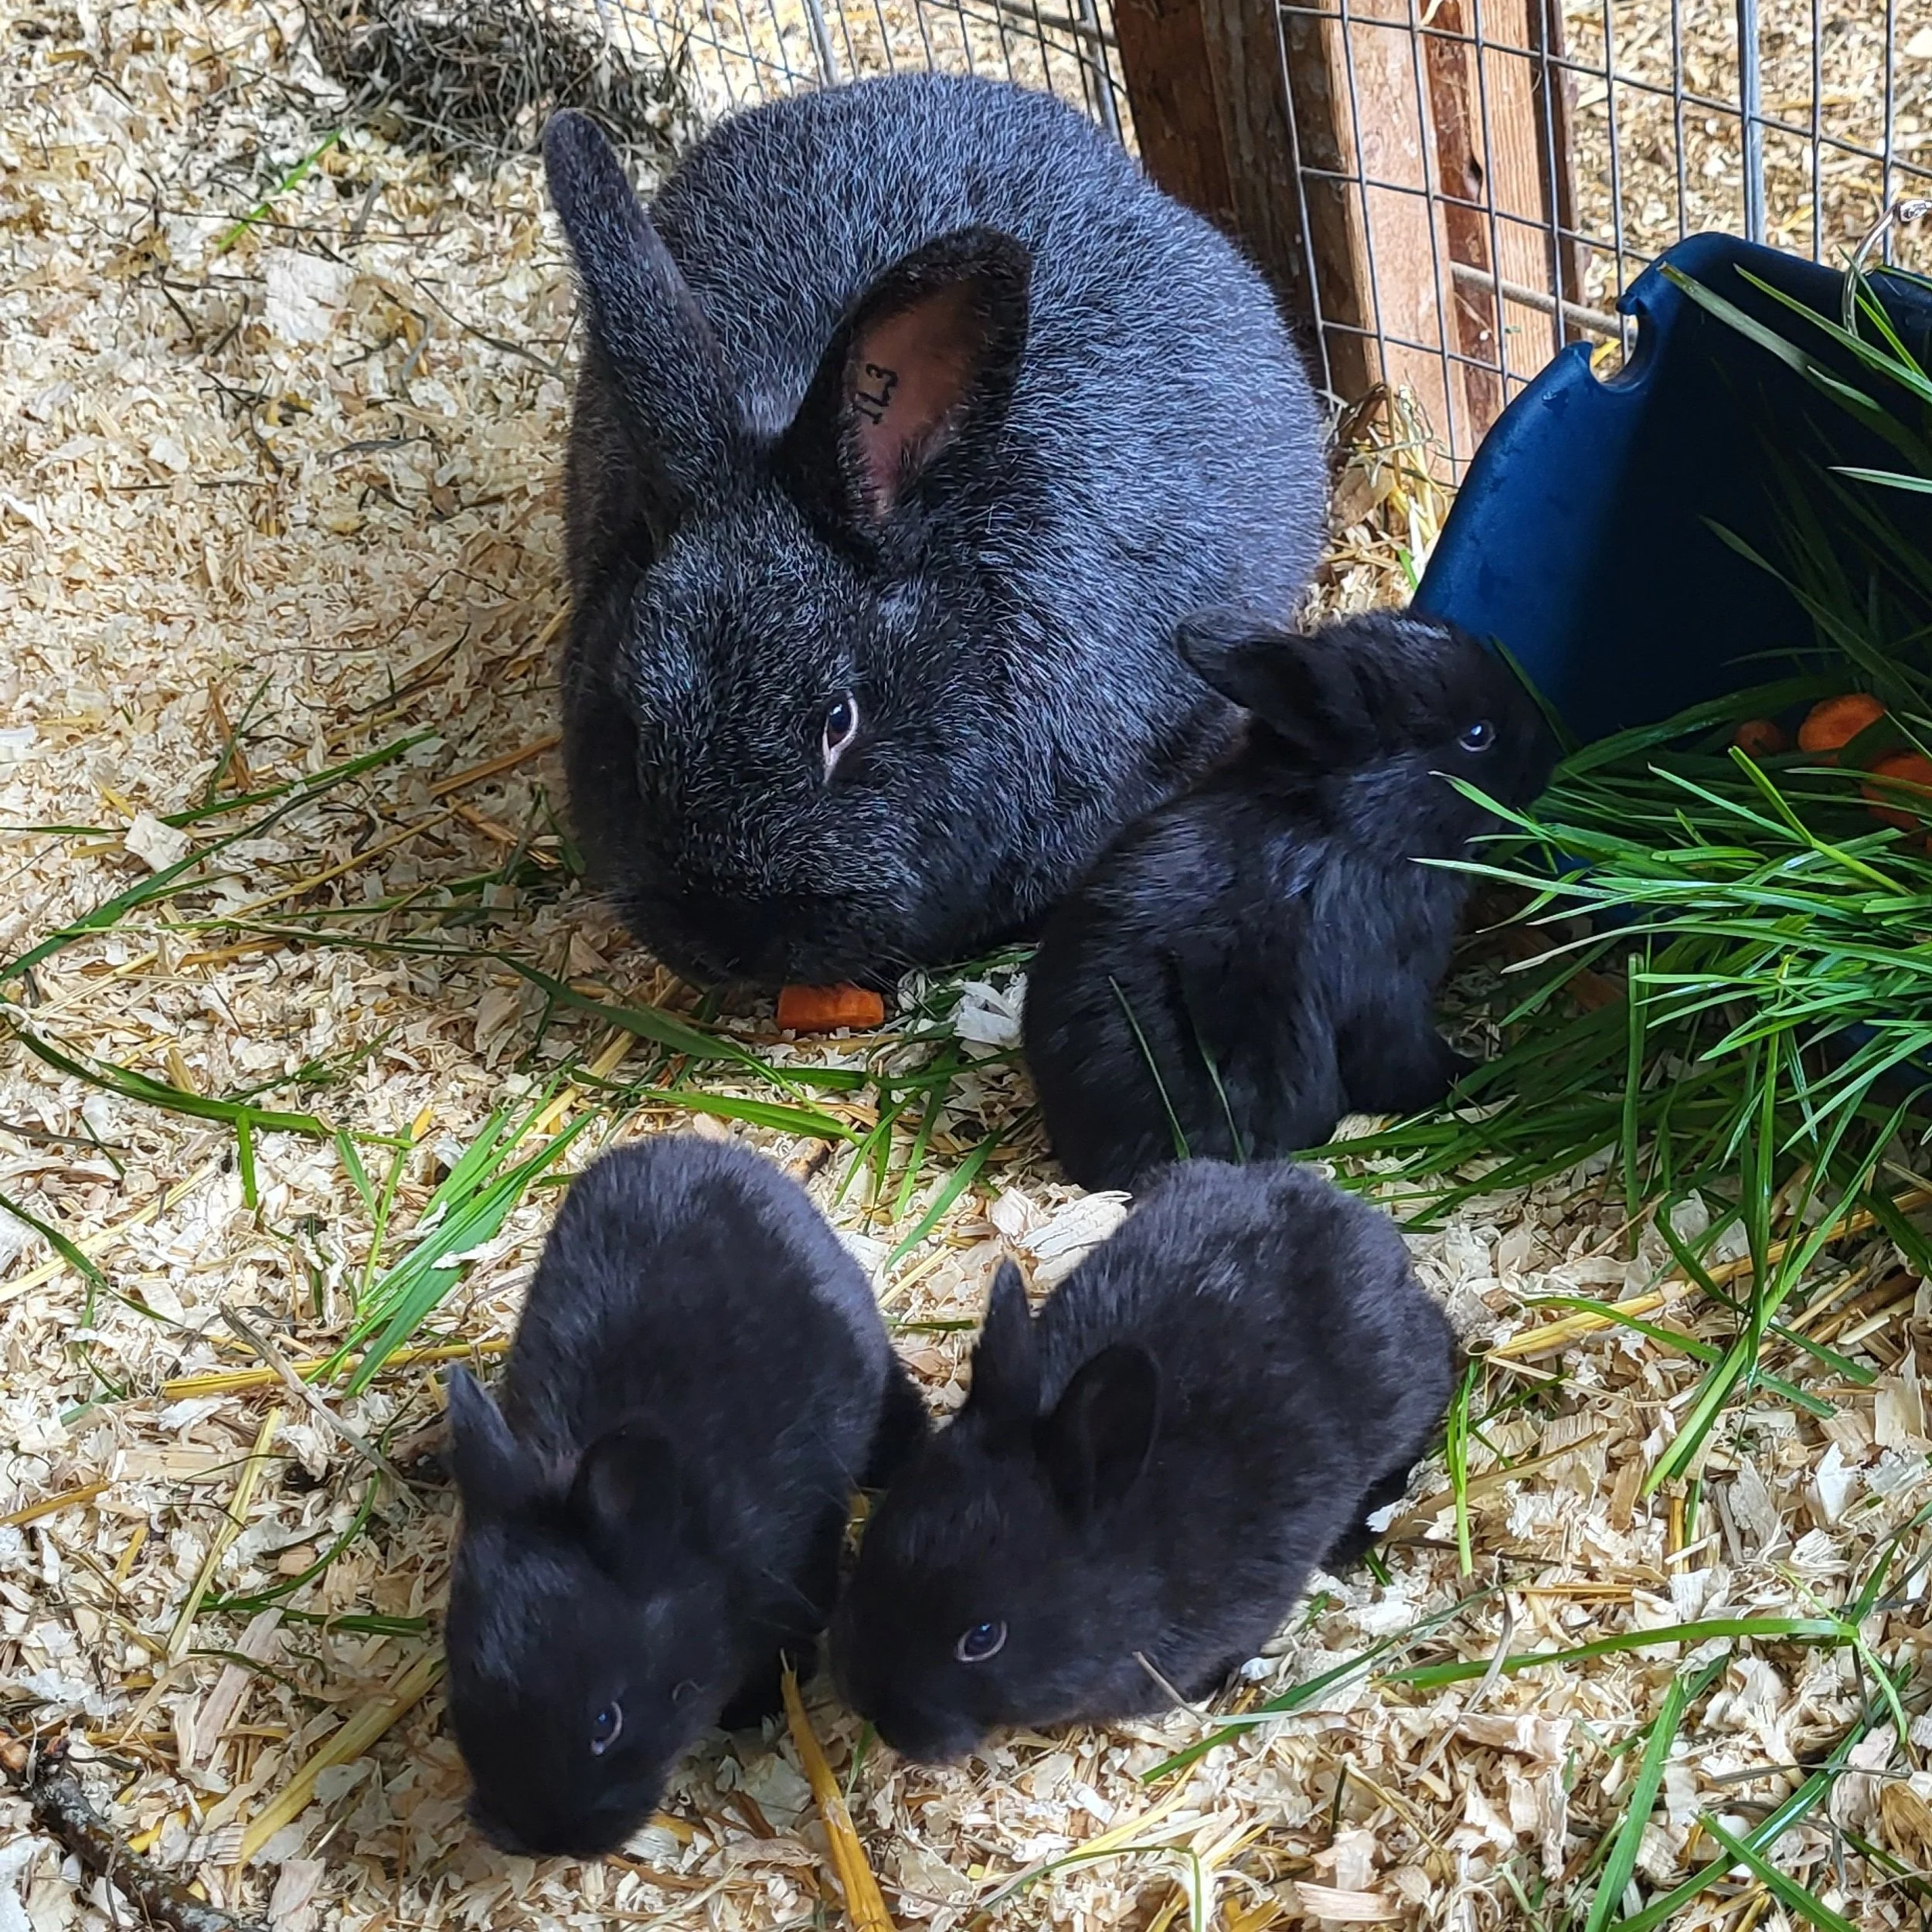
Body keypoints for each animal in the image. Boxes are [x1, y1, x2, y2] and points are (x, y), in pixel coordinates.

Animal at [441, 1135, 925, 1858]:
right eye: (461, 1703)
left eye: (607, 1721)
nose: (547, 1840)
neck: (692, 1555)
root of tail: (699, 1145)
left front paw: (755, 1708)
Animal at [1022, 607, 1562, 1192]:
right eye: (1477, 735)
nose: (1550, 750)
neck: (1353, 828)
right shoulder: (1388, 995)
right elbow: (1407, 1062)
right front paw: (1484, 1076)